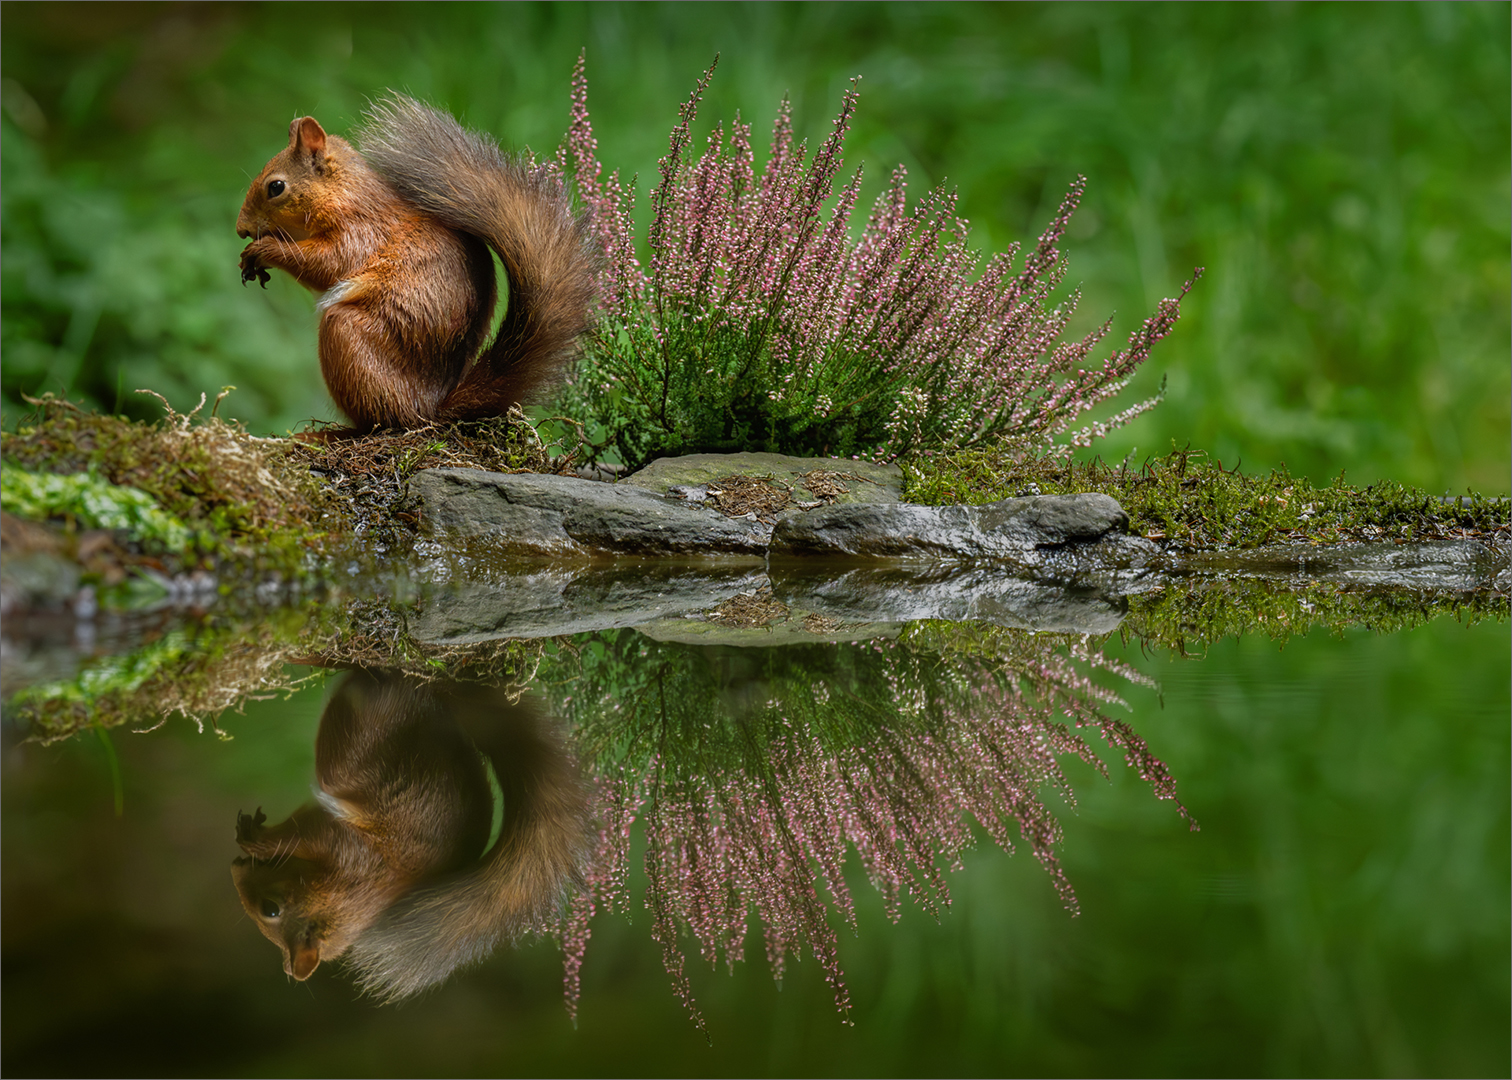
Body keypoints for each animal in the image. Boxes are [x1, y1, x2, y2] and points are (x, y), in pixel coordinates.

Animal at [232, 670, 586, 999]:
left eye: (270, 910)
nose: (235, 867)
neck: (339, 899)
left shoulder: (344, 850)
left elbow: (299, 835)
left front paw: (256, 840)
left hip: (355, 747)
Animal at [235, 95, 597, 432]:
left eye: (276, 187)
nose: (241, 229)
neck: (345, 191)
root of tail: (430, 409)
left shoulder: (360, 231)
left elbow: (327, 264)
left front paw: (264, 249)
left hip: (347, 334)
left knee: (385, 421)